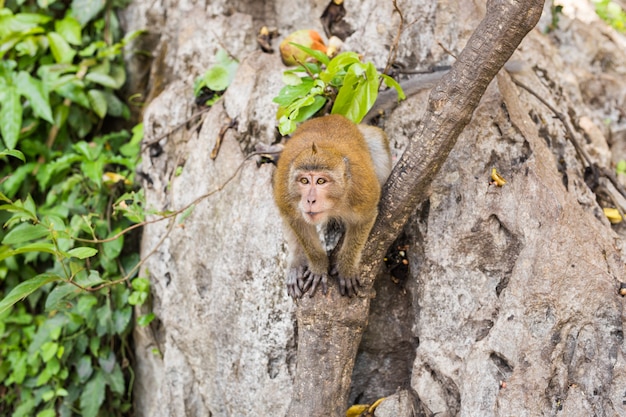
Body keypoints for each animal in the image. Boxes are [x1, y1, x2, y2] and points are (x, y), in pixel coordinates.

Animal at [272, 112, 390, 298]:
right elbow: (297, 222)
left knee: (377, 139)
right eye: (304, 181)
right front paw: (318, 266)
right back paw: (296, 262)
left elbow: (364, 220)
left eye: (321, 181)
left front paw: (346, 268)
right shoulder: (286, 194)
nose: (310, 200)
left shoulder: (363, 193)